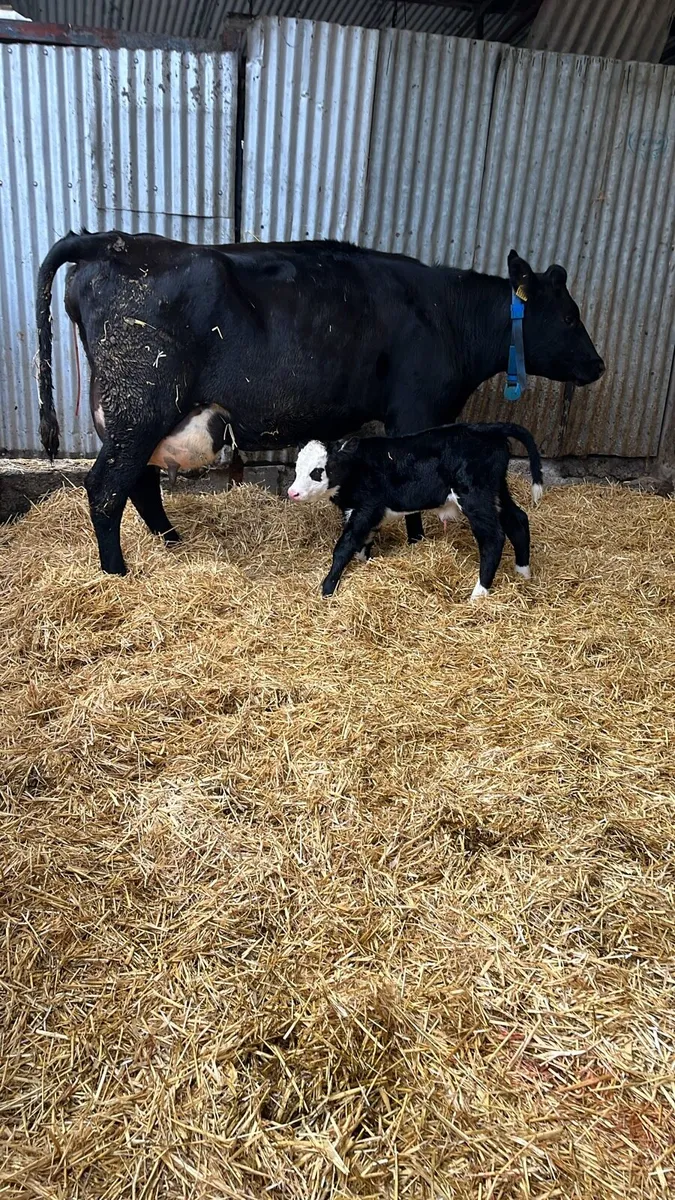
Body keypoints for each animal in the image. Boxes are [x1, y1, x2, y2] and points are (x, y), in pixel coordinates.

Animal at [36, 231, 603, 575]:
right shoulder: (415, 411)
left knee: (140, 485)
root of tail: (110, 242)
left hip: (140, 417)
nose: (598, 366)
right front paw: (417, 543)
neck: (447, 314)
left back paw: (174, 543)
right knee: (106, 489)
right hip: (140, 408)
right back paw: (118, 571)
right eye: (569, 316)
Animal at [287, 422, 544, 600]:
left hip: (474, 497)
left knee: (493, 538)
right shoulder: (362, 512)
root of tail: (487, 428)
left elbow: (344, 546)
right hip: (497, 492)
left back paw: (478, 594)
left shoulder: (366, 508)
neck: (356, 467)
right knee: (518, 520)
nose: (292, 492)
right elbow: (362, 543)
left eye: (318, 470)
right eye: (297, 468)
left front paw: (327, 588)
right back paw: (523, 573)